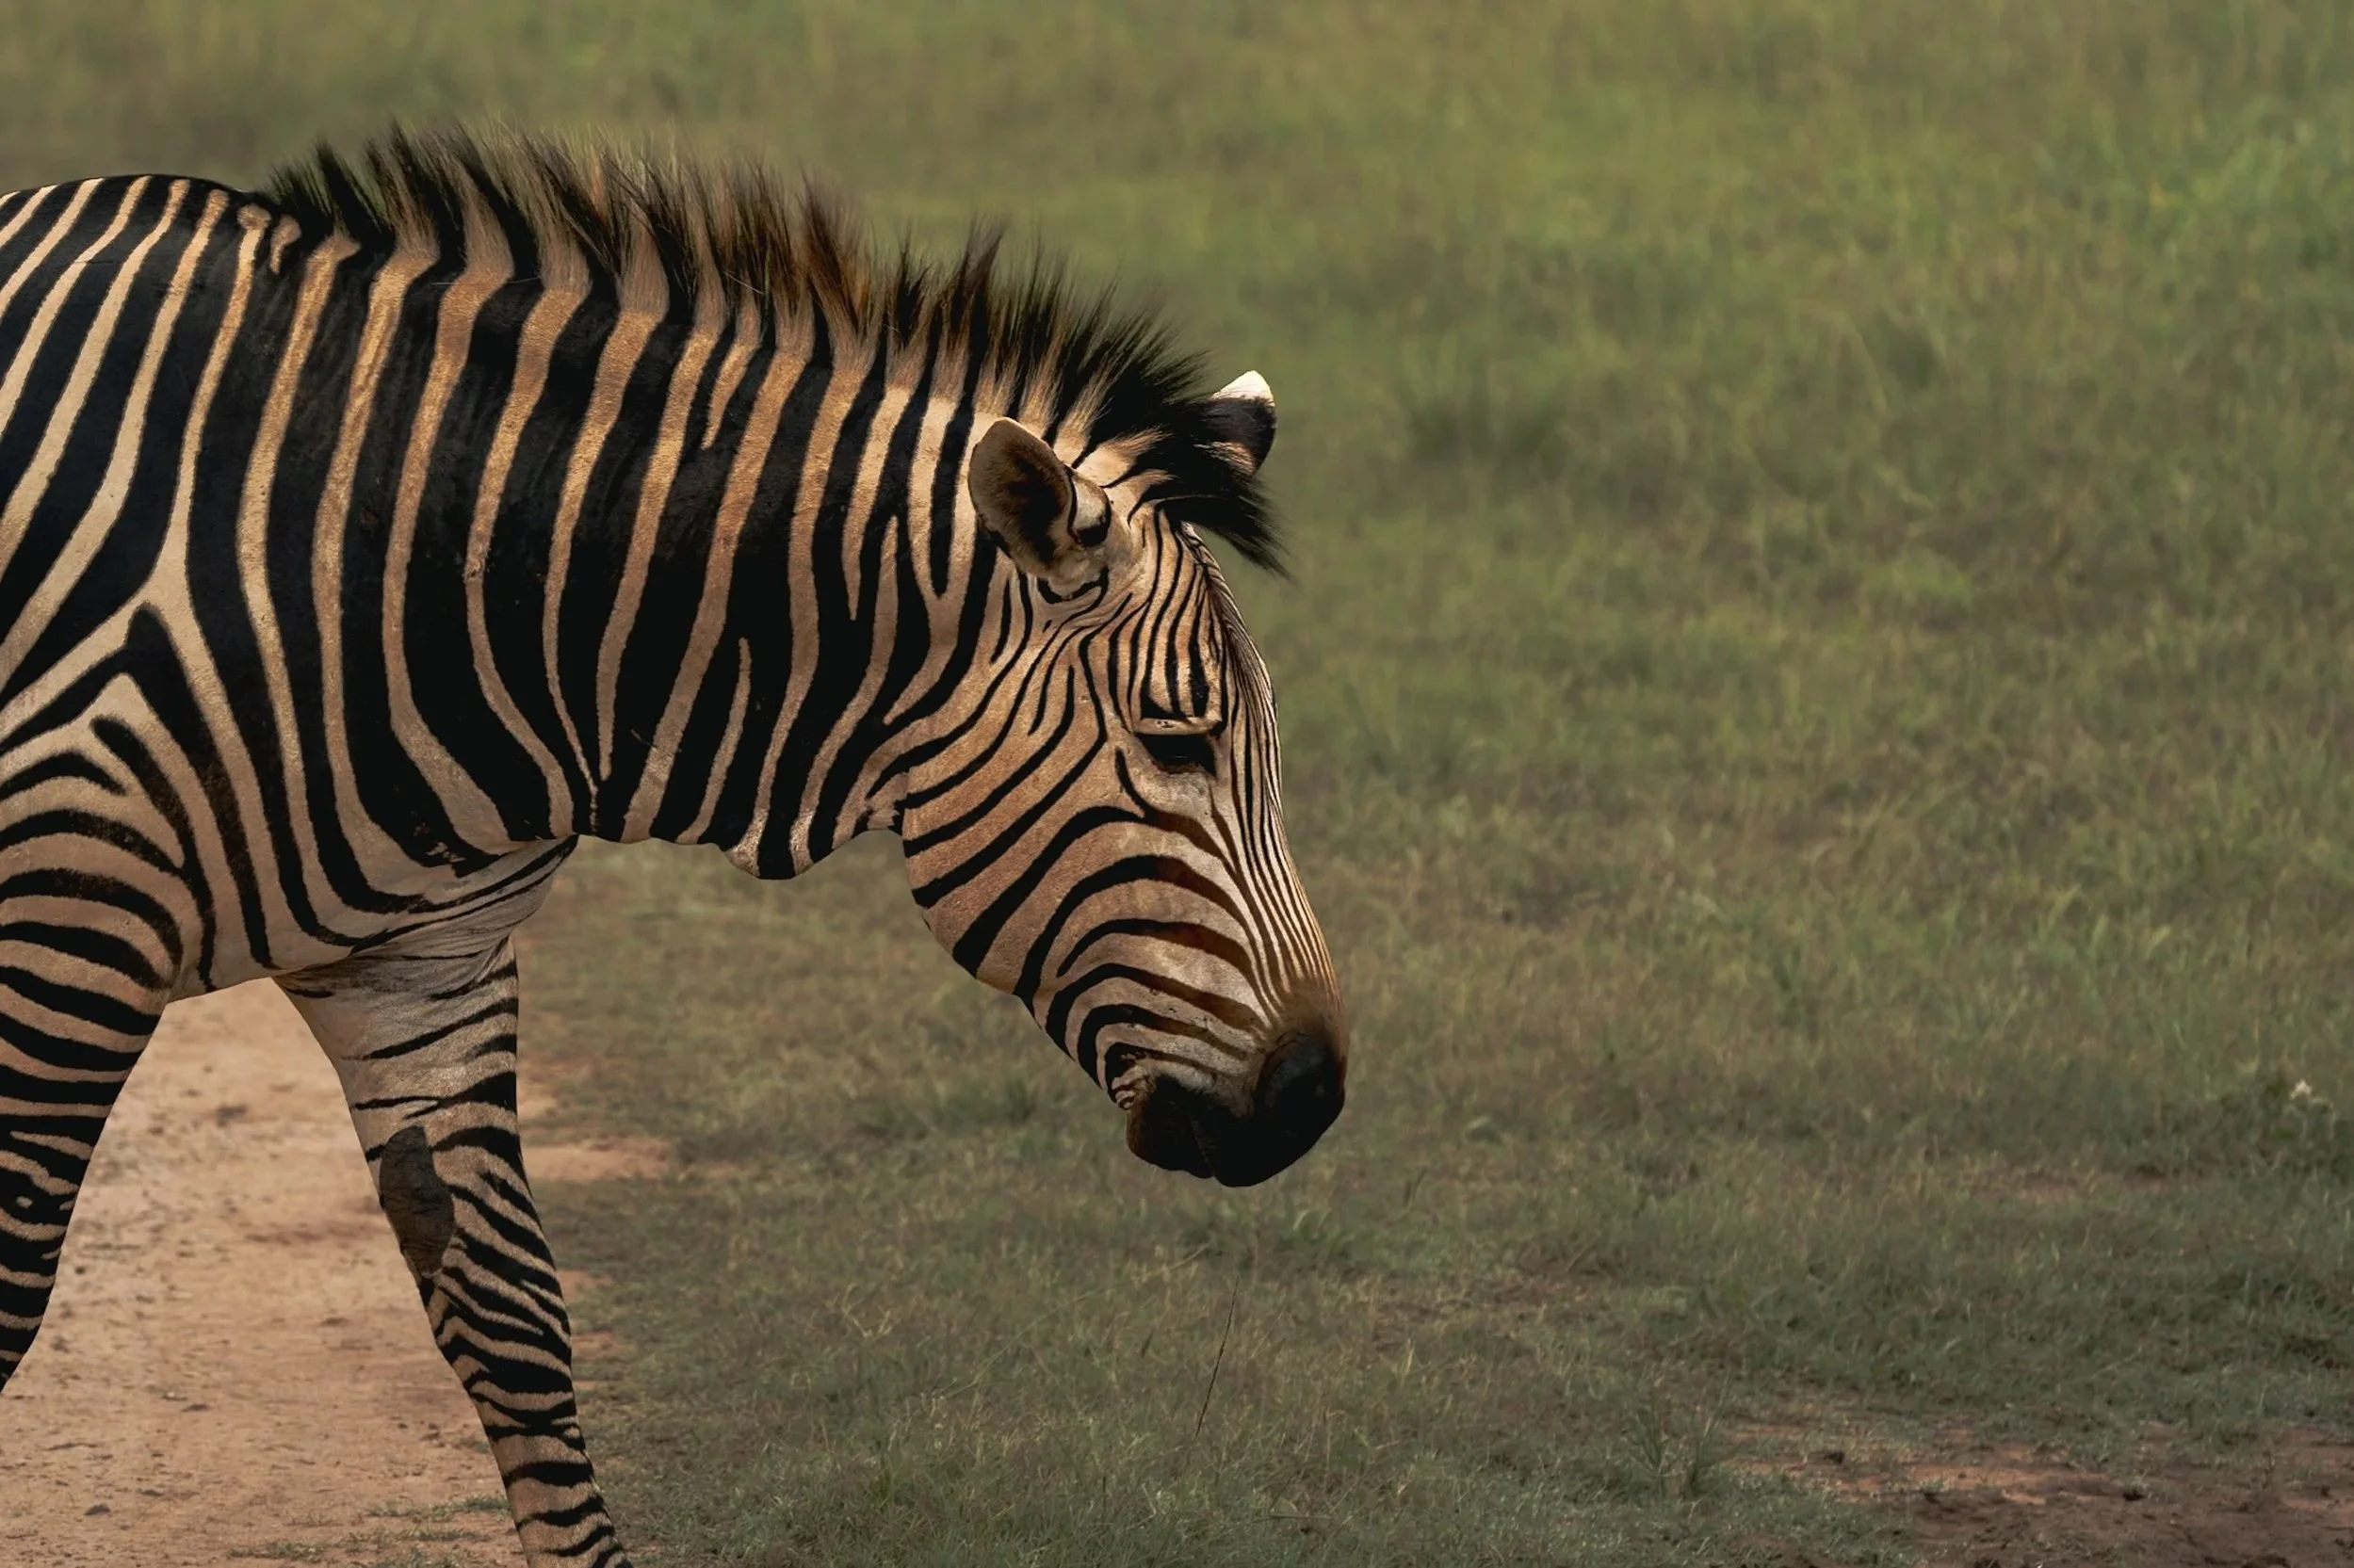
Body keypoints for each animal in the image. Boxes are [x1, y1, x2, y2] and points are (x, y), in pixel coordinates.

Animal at [0, 129, 1347, 1565]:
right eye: (1175, 745)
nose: (1314, 1094)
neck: (402, 556)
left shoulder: (420, 964)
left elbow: (514, 1319)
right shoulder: (64, 932)